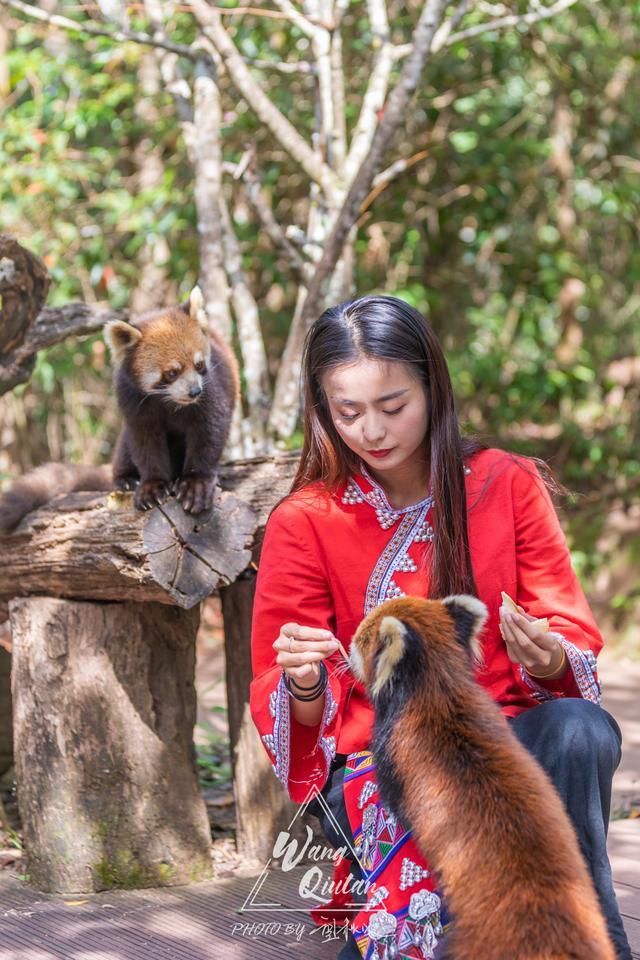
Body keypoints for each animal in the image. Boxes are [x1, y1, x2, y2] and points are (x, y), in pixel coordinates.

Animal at [0, 286, 239, 532]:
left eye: (199, 365)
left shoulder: (213, 390)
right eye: (172, 372)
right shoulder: (133, 400)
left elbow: (209, 433)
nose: (194, 391)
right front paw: (152, 484)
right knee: (125, 447)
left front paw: (196, 483)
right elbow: (144, 442)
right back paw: (126, 479)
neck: (170, 402)